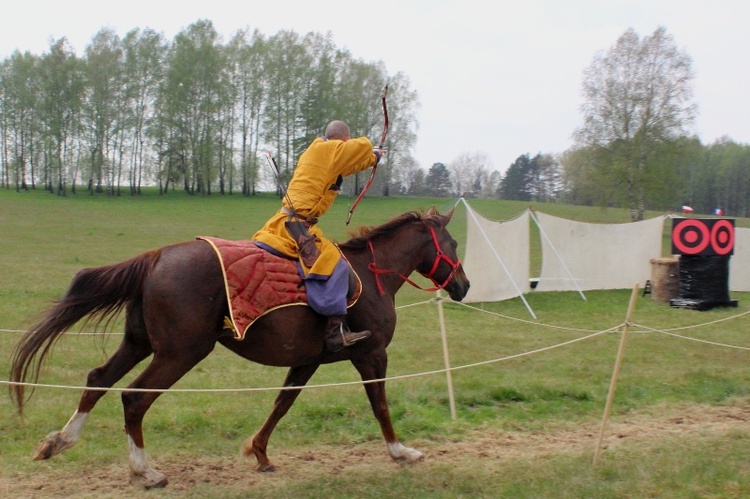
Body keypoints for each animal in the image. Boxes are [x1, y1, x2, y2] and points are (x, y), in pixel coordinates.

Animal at [8, 206, 470, 488]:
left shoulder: (308, 360)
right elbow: (380, 405)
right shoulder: (371, 355)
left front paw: (260, 453)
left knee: (98, 379)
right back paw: (145, 471)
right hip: (180, 352)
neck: (372, 276)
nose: (463, 287)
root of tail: (156, 257)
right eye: (453, 244)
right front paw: (401, 452)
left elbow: (282, 404)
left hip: (140, 344)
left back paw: (59, 441)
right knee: (134, 397)